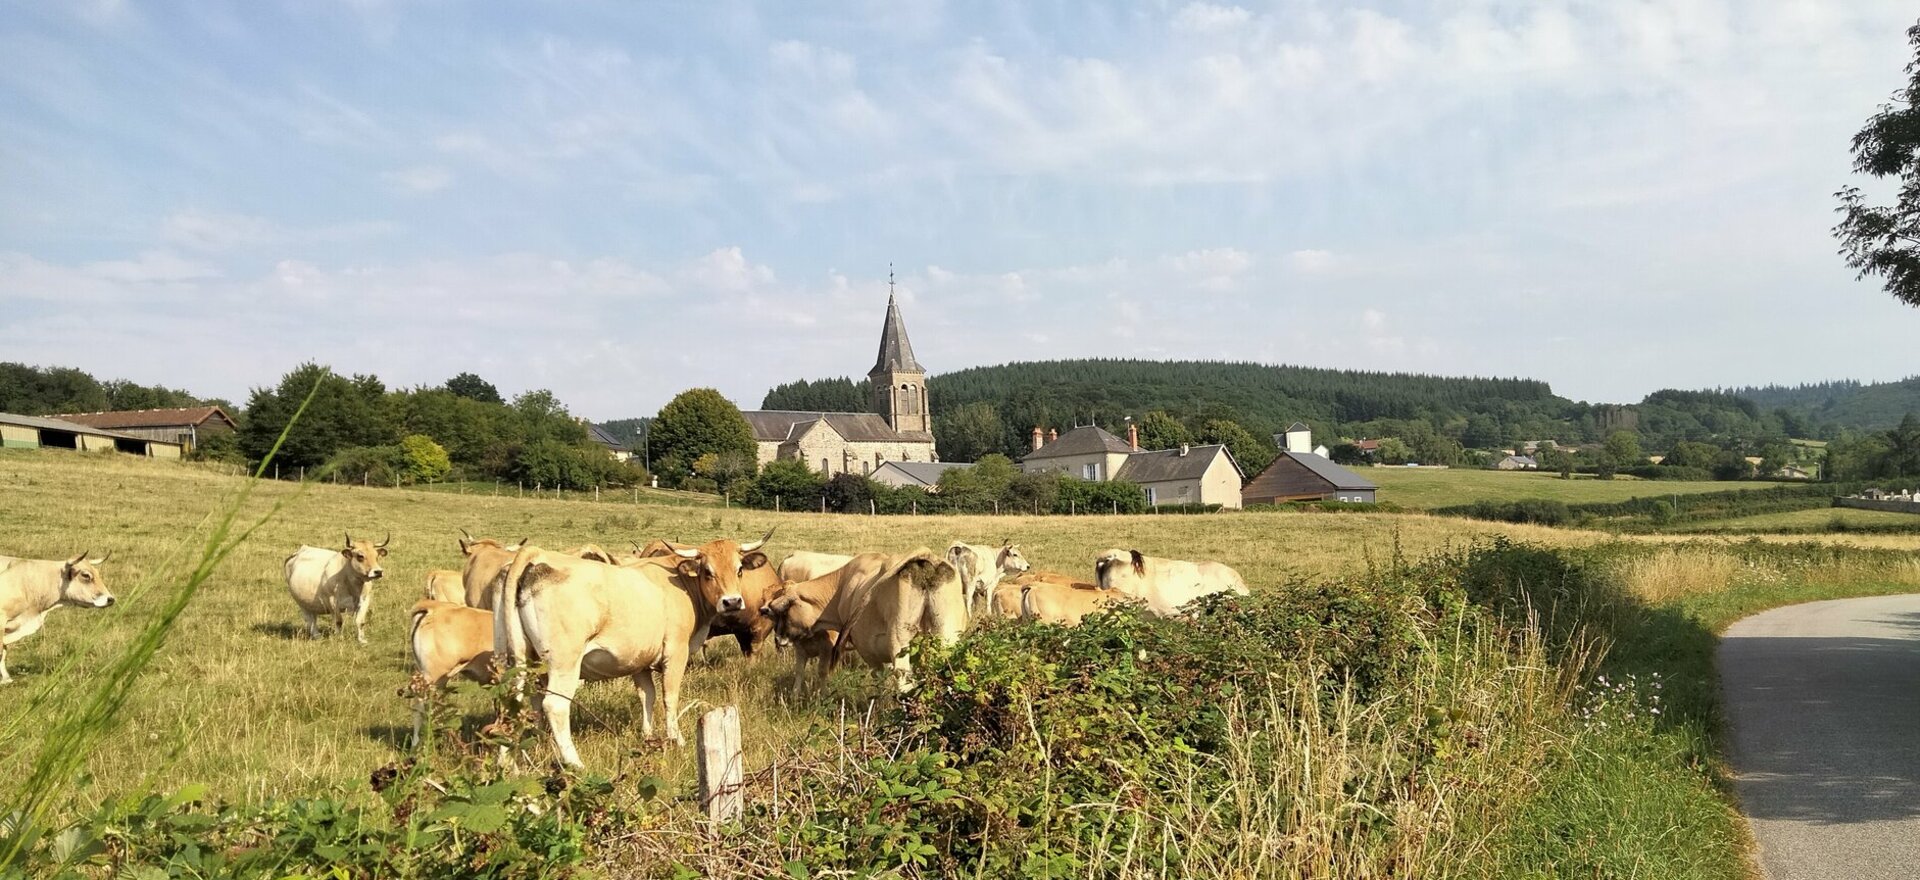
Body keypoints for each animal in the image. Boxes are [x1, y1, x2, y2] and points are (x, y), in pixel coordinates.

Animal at [495, 537, 698, 764]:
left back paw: (508, 761)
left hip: (515, 661)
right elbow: (669, 696)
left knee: (512, 703)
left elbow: (647, 696)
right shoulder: (676, 652)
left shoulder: (639, 661)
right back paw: (574, 763)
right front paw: (677, 740)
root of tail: (538, 555)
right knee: (555, 705)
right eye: (708, 570)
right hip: (564, 663)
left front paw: (648, 736)